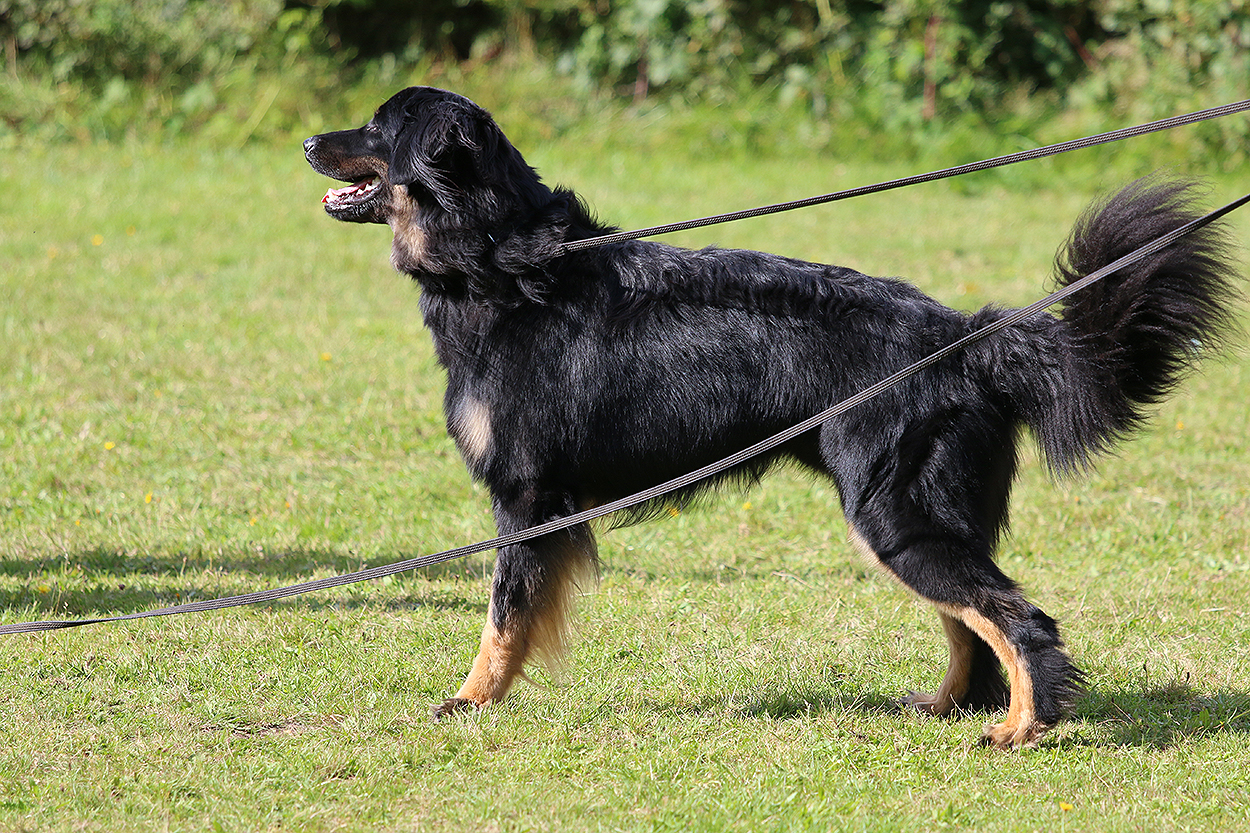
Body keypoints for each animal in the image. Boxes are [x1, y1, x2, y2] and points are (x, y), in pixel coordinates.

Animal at [304, 87, 1240, 748]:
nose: (309, 142)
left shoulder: (527, 500)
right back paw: (948, 707)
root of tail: (966, 337)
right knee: (971, 624)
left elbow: (502, 615)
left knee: (1017, 621)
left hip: (895, 515)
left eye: (378, 125)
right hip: (911, 517)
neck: (498, 259)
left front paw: (471, 700)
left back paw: (1022, 726)